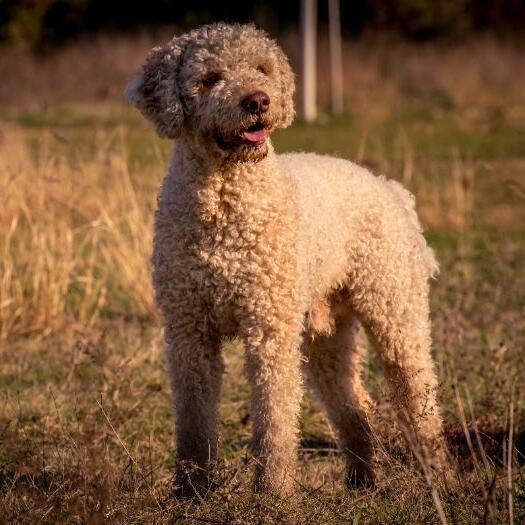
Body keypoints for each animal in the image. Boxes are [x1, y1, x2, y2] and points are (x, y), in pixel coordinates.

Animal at [125, 21, 448, 496]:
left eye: (262, 69)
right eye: (211, 77)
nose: (258, 100)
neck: (226, 203)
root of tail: (390, 189)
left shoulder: (269, 327)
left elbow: (275, 416)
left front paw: (273, 493)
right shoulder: (188, 329)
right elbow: (194, 420)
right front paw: (193, 490)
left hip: (394, 311)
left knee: (418, 396)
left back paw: (439, 478)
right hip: (325, 334)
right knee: (353, 403)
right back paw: (361, 481)